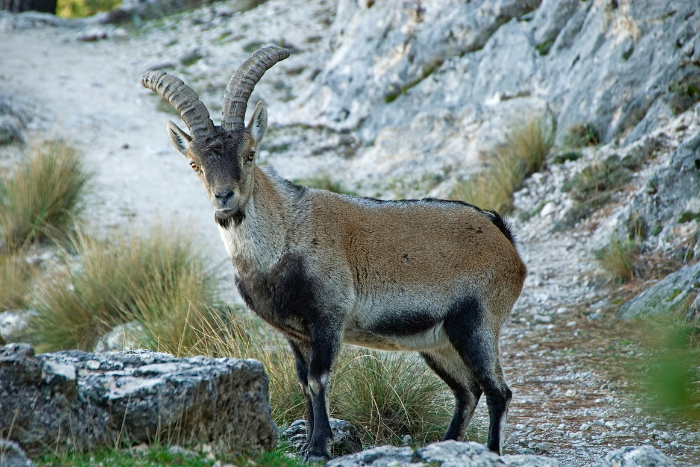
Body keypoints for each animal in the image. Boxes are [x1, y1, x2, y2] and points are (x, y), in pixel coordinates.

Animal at [142, 45, 524, 462]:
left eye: (250, 154)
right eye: (194, 164)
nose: (224, 197)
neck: (283, 237)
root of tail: (501, 235)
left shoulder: (328, 318)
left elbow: (318, 379)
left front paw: (319, 447)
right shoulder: (294, 333)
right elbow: (302, 382)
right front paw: (309, 442)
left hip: (478, 323)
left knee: (498, 392)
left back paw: (490, 450)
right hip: (439, 342)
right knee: (467, 391)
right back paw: (446, 444)